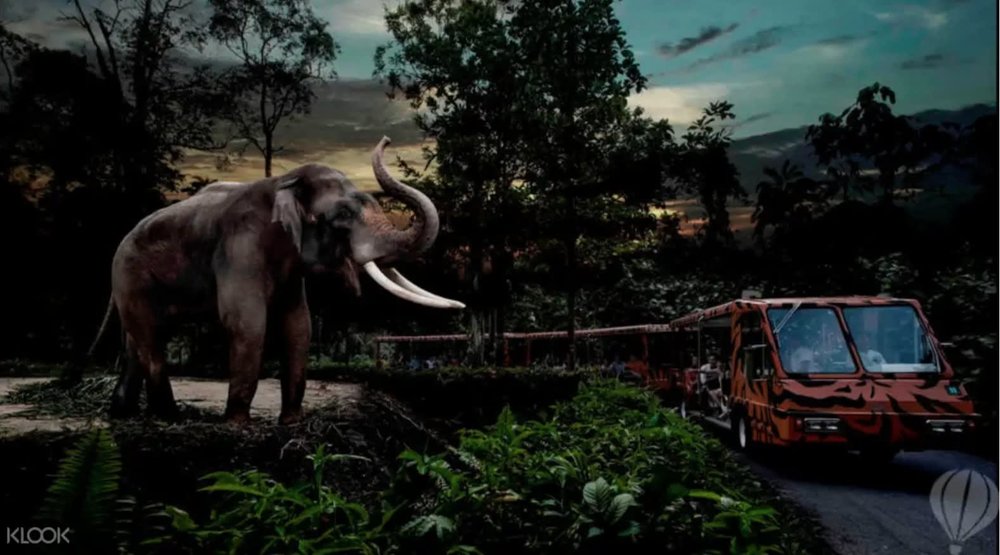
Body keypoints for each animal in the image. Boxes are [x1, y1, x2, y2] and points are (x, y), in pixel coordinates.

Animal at [89, 137, 463, 425]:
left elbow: (298, 324)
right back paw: (170, 418)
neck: (285, 181)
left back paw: (122, 415)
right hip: (130, 275)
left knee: (139, 339)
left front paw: (291, 423)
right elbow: (247, 322)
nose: (386, 140)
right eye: (342, 215)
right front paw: (236, 425)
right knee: (150, 338)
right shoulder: (240, 247)